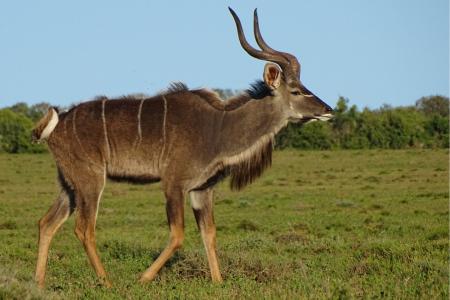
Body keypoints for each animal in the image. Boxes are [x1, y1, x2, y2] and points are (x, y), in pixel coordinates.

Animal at [31, 8, 332, 288]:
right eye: (296, 90)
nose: (328, 110)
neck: (218, 128)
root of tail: (56, 125)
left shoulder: (202, 190)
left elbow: (209, 234)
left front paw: (218, 282)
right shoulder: (174, 183)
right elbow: (177, 235)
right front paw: (142, 279)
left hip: (70, 186)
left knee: (47, 222)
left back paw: (39, 283)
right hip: (91, 181)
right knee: (84, 228)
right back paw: (107, 283)